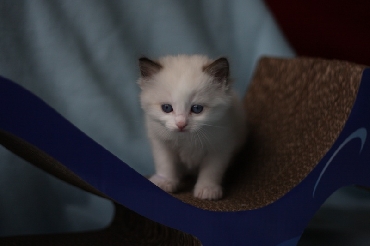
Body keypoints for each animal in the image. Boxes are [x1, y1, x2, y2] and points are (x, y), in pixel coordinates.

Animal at [137, 54, 247, 200]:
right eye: (167, 108)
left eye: (197, 109)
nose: (181, 124)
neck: (187, 140)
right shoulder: (161, 142)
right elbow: (165, 163)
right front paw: (165, 181)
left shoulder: (221, 144)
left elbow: (212, 169)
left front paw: (207, 189)